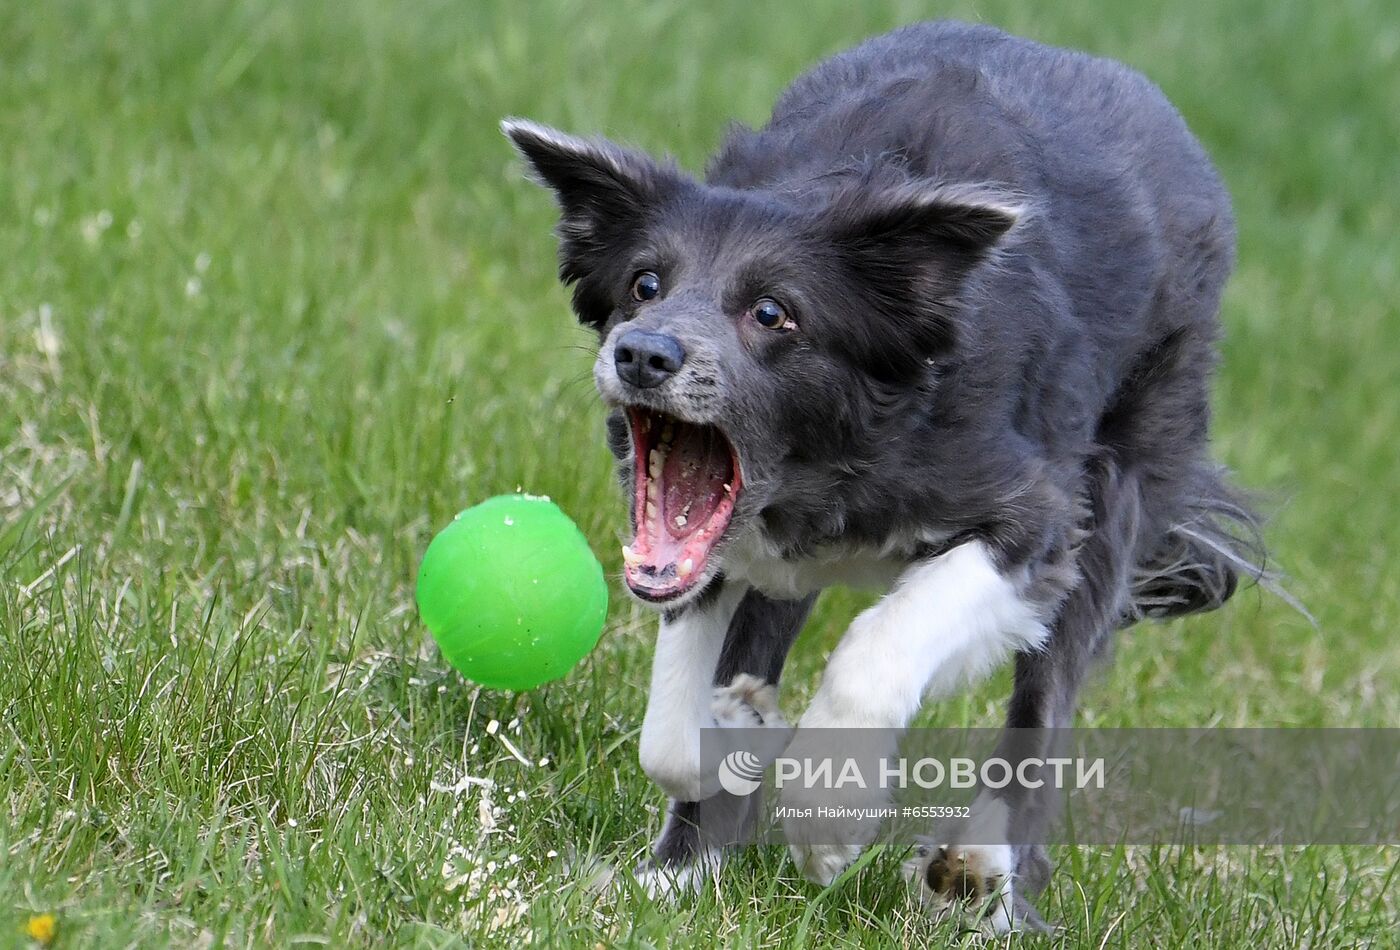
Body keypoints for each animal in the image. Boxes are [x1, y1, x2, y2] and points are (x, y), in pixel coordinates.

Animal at [501, 20, 1260, 929]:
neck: (838, 455)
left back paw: (983, 873)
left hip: (1119, 485)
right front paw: (715, 775)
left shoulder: (1034, 522)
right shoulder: (723, 552)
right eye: (644, 284)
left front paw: (829, 815)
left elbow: (880, 644)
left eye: (773, 313)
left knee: (1042, 707)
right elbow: (676, 722)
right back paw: (687, 867)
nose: (643, 354)